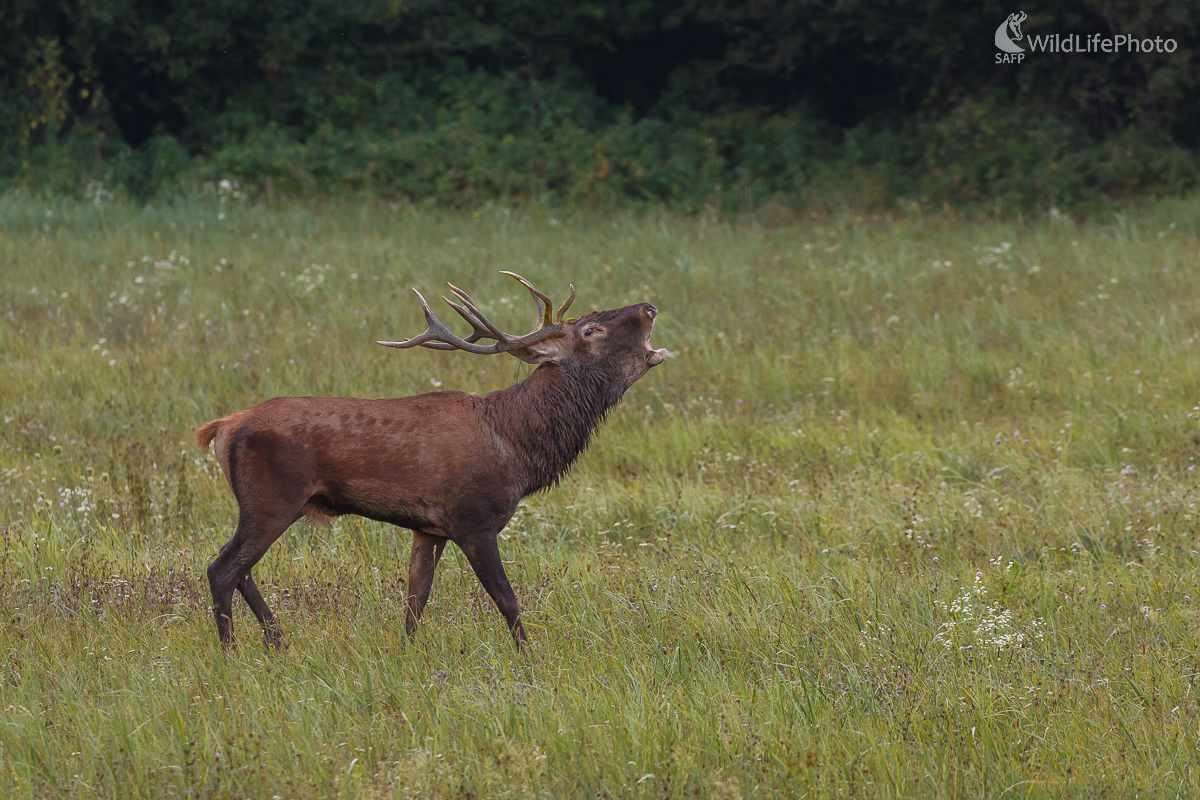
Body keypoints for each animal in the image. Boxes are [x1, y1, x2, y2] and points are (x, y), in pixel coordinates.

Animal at [194, 273, 667, 652]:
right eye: (591, 329)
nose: (649, 307)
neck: (516, 447)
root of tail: (222, 427)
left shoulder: (429, 527)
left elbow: (415, 602)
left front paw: (406, 655)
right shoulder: (473, 520)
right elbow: (508, 600)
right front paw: (529, 658)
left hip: (270, 505)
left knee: (241, 571)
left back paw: (278, 641)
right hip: (271, 499)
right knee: (223, 569)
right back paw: (231, 652)